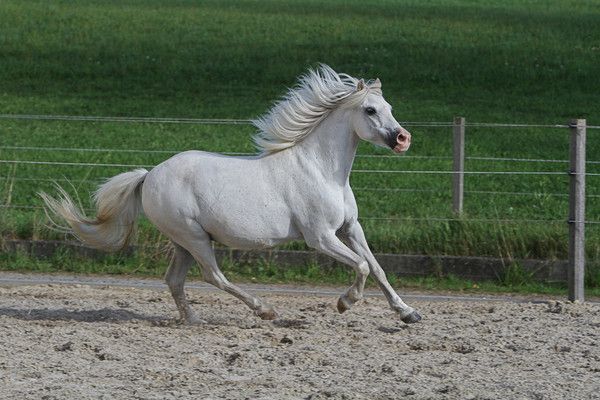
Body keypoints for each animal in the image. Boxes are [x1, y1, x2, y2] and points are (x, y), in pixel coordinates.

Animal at [41, 64, 422, 324]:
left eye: (389, 107)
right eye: (370, 110)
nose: (402, 139)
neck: (322, 170)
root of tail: (149, 176)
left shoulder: (350, 228)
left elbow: (377, 267)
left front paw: (408, 313)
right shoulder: (320, 237)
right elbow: (361, 266)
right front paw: (345, 302)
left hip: (183, 241)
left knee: (175, 280)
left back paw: (192, 320)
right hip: (194, 237)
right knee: (214, 276)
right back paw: (264, 310)